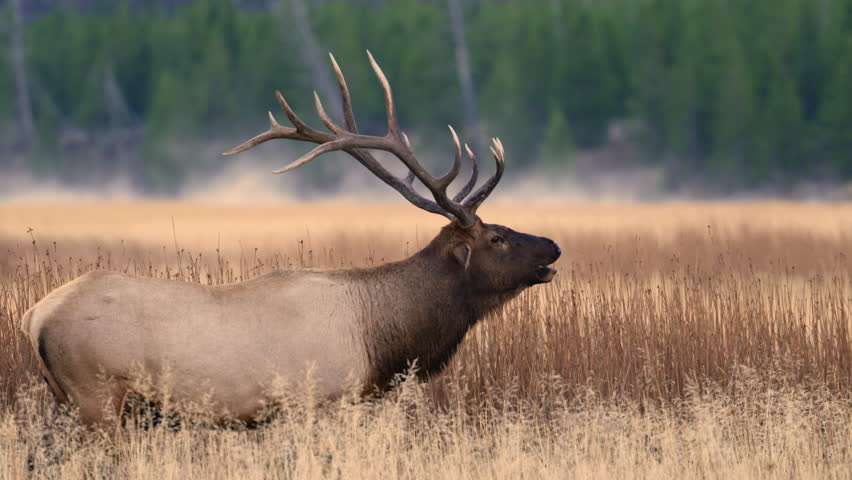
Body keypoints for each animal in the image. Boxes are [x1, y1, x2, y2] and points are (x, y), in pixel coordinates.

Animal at [21, 53, 560, 428]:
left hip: (64, 402)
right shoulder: (316, 400)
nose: (553, 246)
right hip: (97, 396)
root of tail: (34, 317)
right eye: (497, 238)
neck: (381, 336)